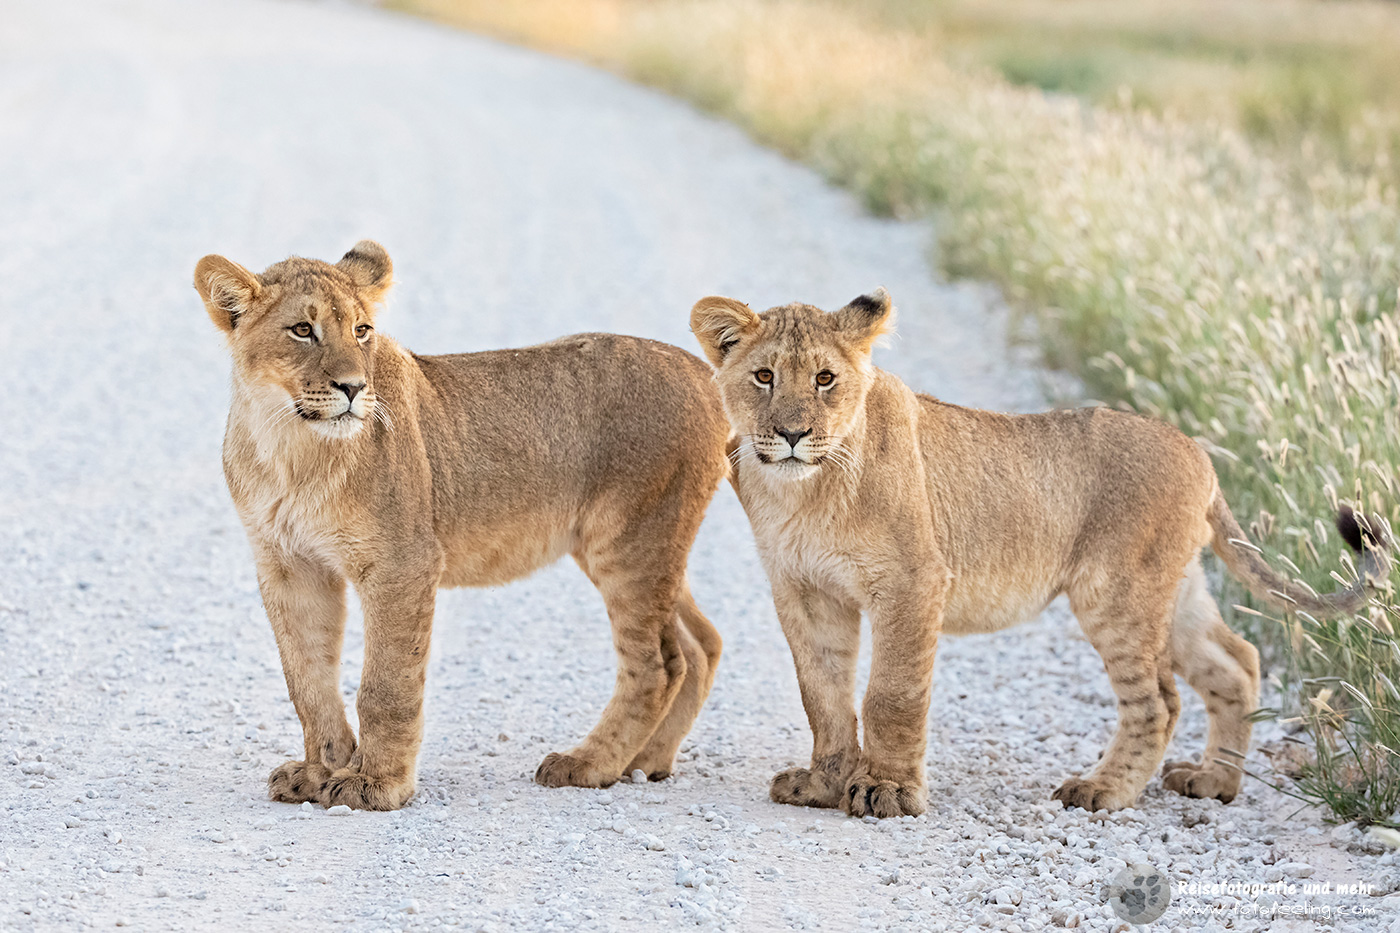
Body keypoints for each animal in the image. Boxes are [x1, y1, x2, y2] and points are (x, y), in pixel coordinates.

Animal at [192, 241, 729, 810]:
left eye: (362, 330)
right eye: (301, 330)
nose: (354, 387)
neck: (290, 446)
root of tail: (704, 370)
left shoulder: (403, 562)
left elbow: (385, 684)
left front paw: (374, 784)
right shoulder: (290, 566)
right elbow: (308, 681)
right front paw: (319, 772)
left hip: (631, 542)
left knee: (658, 665)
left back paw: (589, 764)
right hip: (647, 547)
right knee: (699, 646)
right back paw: (645, 763)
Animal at [690, 288, 1391, 817]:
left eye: (826, 379)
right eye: (763, 377)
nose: (791, 433)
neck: (803, 491)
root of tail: (1199, 453)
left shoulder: (914, 582)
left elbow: (891, 693)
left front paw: (886, 791)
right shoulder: (804, 590)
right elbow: (824, 693)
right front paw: (825, 784)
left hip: (1117, 593)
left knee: (1160, 700)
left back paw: (1103, 791)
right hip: (1176, 586)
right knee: (1237, 661)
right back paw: (1215, 781)